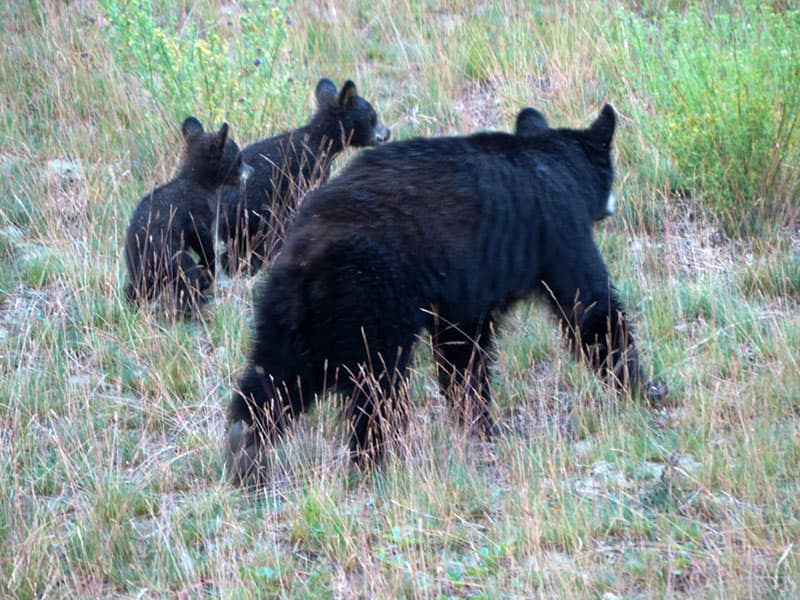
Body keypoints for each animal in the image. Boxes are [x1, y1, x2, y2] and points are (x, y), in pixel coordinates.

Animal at [123, 115, 250, 316]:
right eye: (238, 158)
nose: (251, 171)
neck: (201, 182)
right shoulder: (196, 213)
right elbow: (201, 236)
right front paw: (209, 266)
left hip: (140, 268)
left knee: (139, 288)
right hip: (169, 254)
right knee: (185, 276)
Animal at [225, 105, 644, 486]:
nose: (614, 205)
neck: (554, 160)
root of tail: (305, 254)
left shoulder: (465, 289)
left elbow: (463, 348)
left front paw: (476, 421)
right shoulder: (559, 228)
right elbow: (590, 309)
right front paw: (642, 388)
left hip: (289, 312)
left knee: (276, 376)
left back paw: (245, 451)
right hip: (369, 298)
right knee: (375, 385)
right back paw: (376, 460)